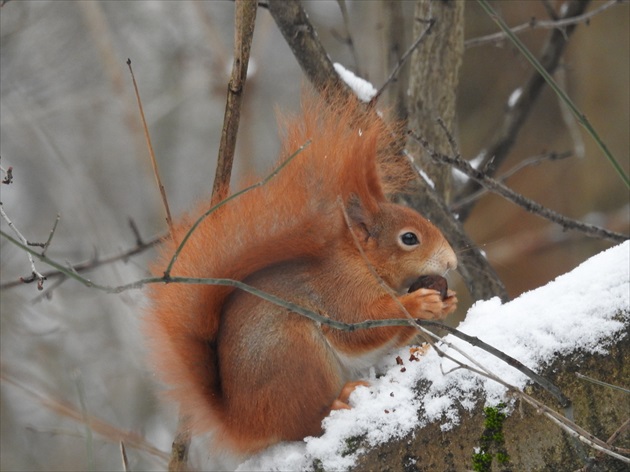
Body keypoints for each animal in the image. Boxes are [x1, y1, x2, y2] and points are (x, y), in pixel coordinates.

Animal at [143, 91, 460, 458]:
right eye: (409, 238)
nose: (452, 263)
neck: (361, 262)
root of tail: (243, 422)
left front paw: (446, 302)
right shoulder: (340, 291)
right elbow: (360, 326)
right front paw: (418, 303)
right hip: (296, 355)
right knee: (303, 424)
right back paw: (338, 401)